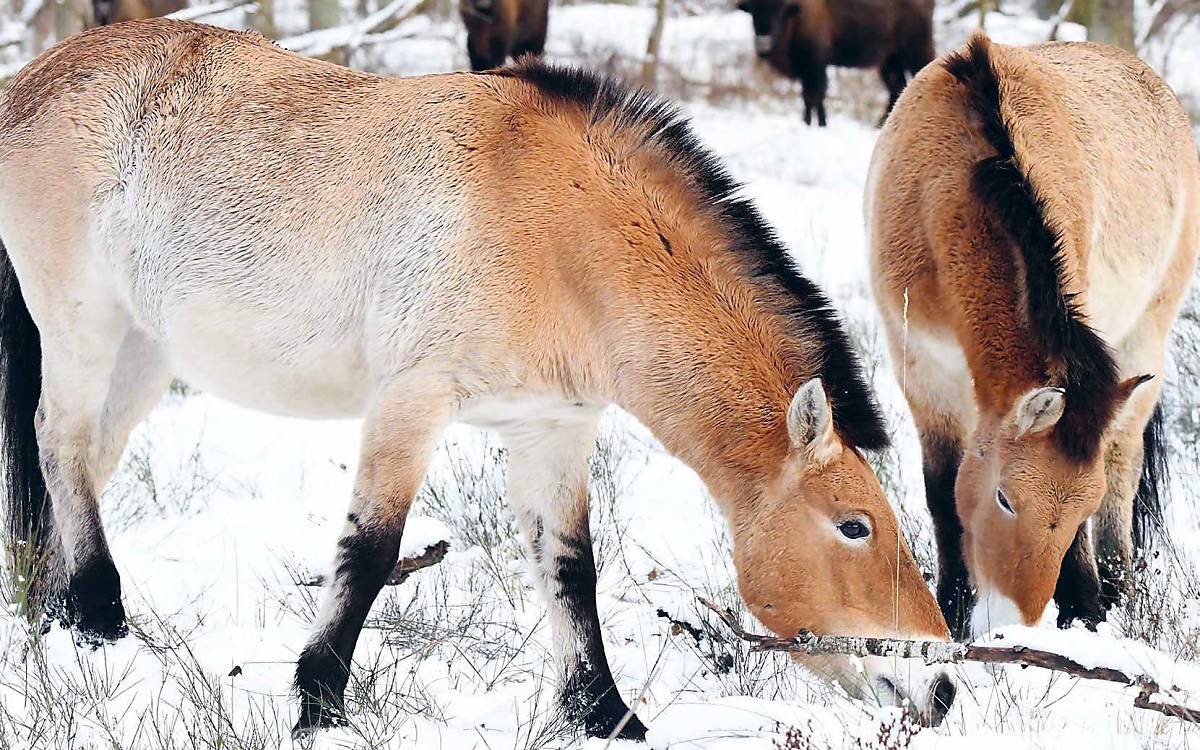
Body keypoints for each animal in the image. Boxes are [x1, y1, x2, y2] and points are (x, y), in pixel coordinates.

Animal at [0, 20, 956, 738]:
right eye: (855, 527)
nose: (944, 687)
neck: (561, 237)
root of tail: (34, 80)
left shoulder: (552, 430)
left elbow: (570, 571)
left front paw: (605, 715)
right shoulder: (411, 402)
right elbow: (370, 550)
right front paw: (319, 702)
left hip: (144, 352)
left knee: (80, 466)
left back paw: (59, 618)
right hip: (83, 326)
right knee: (61, 441)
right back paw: (99, 616)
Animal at [735, 0, 934, 127]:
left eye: (779, 11)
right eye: (753, 11)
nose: (763, 43)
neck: (797, 14)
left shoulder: (815, 64)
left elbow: (814, 95)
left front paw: (815, 123)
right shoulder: (808, 69)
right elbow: (811, 96)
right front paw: (812, 122)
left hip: (913, 50)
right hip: (889, 59)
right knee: (897, 86)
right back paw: (881, 123)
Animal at [867, 32, 1199, 640]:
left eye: (1077, 511)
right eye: (1003, 497)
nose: (1015, 620)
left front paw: (1085, 612)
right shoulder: (923, 374)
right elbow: (942, 494)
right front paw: (951, 612)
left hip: (1147, 338)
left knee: (1123, 466)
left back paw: (1117, 595)